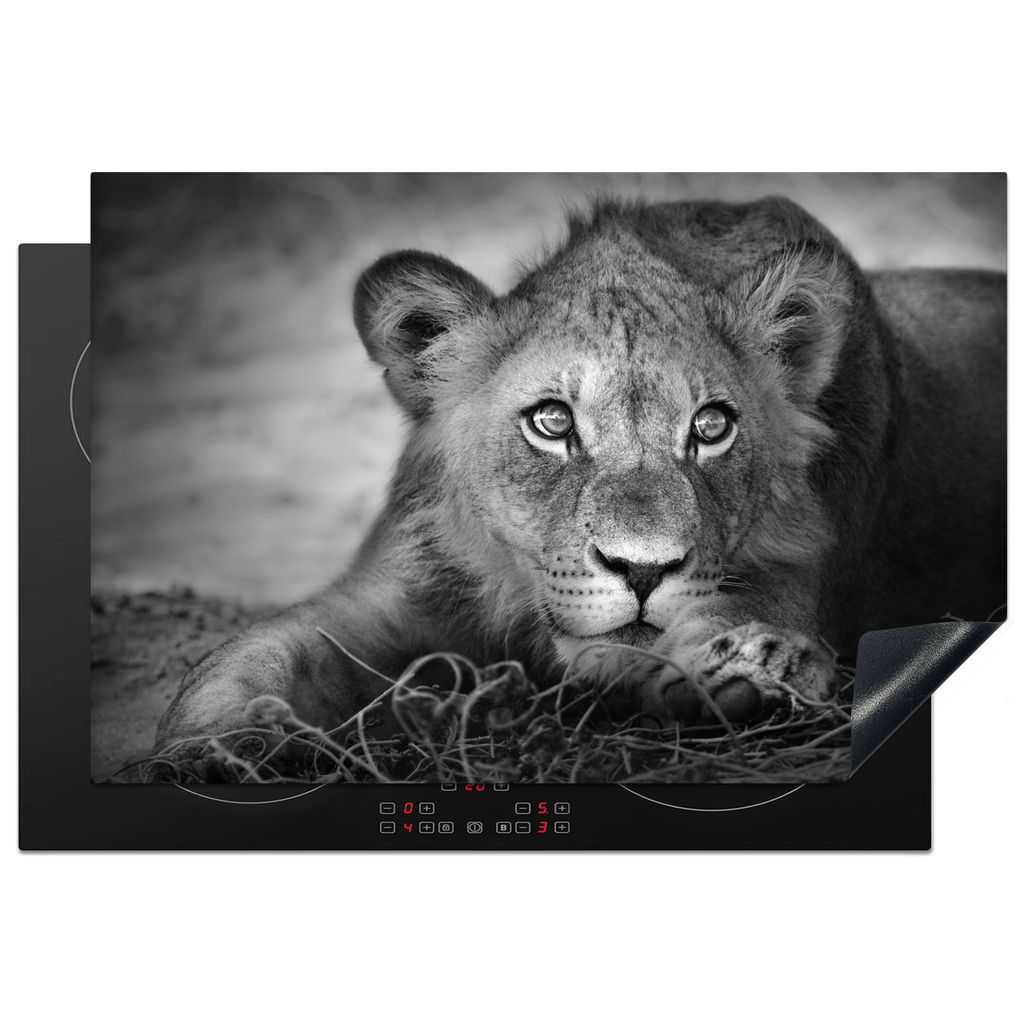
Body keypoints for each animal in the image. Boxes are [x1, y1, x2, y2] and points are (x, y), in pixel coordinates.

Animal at [155, 196, 1006, 755]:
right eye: (552, 422)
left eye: (711, 427)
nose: (643, 569)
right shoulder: (392, 591)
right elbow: (256, 653)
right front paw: (219, 742)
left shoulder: (787, 576)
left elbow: (735, 621)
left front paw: (749, 674)